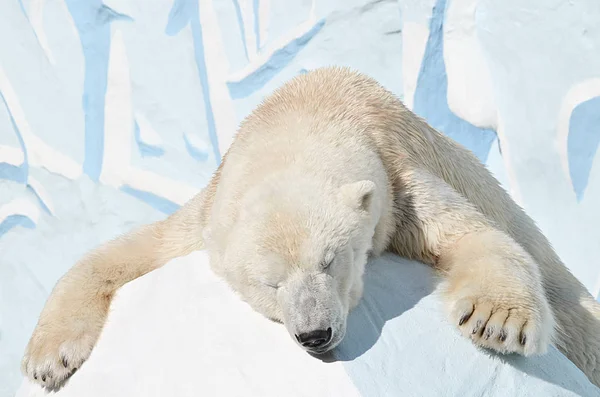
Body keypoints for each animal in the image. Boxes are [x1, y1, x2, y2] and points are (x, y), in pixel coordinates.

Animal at [21, 67, 600, 386]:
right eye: (268, 283)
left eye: (330, 261)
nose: (315, 334)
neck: (304, 107)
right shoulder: (209, 210)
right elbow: (130, 250)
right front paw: (46, 360)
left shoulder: (399, 176)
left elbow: (473, 235)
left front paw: (495, 321)